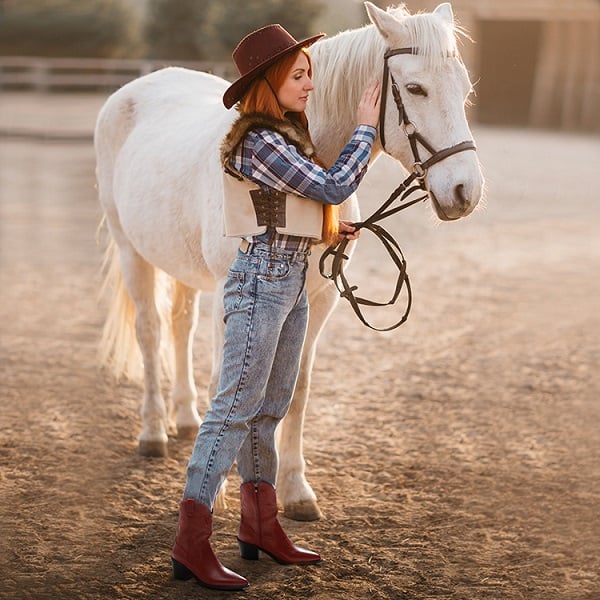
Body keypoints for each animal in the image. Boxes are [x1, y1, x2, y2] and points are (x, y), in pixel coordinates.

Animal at [96, 2, 486, 520]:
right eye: (417, 88)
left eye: (464, 89)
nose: (466, 191)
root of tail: (137, 88)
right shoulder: (234, 297)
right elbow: (233, 383)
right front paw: (222, 493)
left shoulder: (317, 302)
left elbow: (296, 387)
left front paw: (295, 490)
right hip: (131, 253)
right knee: (151, 332)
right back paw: (154, 431)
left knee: (180, 327)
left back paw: (185, 417)